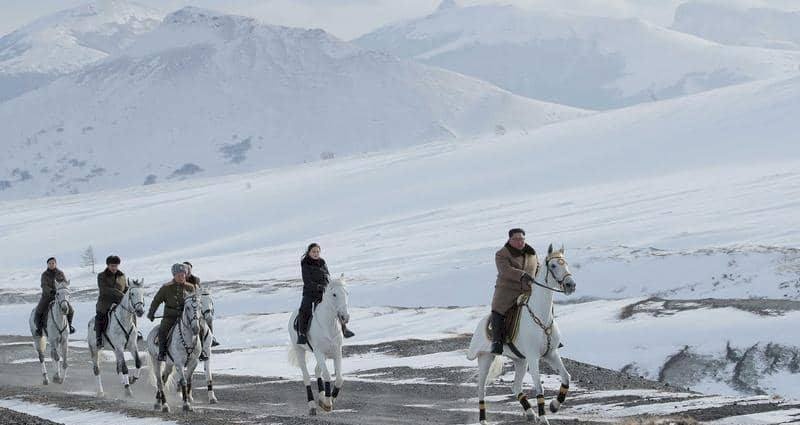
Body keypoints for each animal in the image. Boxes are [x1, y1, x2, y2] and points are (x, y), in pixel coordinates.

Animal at [288, 274, 350, 414]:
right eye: (334, 294)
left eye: (346, 293)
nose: (345, 317)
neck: (328, 325)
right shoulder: (319, 352)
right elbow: (327, 375)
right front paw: (327, 403)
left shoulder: (337, 351)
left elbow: (339, 378)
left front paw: (330, 399)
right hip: (300, 350)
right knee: (306, 377)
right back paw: (312, 405)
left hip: (325, 355)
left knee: (317, 371)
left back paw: (321, 397)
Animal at [468, 245, 576, 424]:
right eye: (553, 265)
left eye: (566, 263)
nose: (570, 285)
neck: (541, 317)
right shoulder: (533, 357)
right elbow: (539, 387)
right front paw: (544, 418)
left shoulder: (551, 354)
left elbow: (566, 377)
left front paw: (554, 406)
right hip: (485, 359)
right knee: (481, 389)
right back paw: (483, 420)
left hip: (520, 361)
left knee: (515, 386)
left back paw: (530, 413)